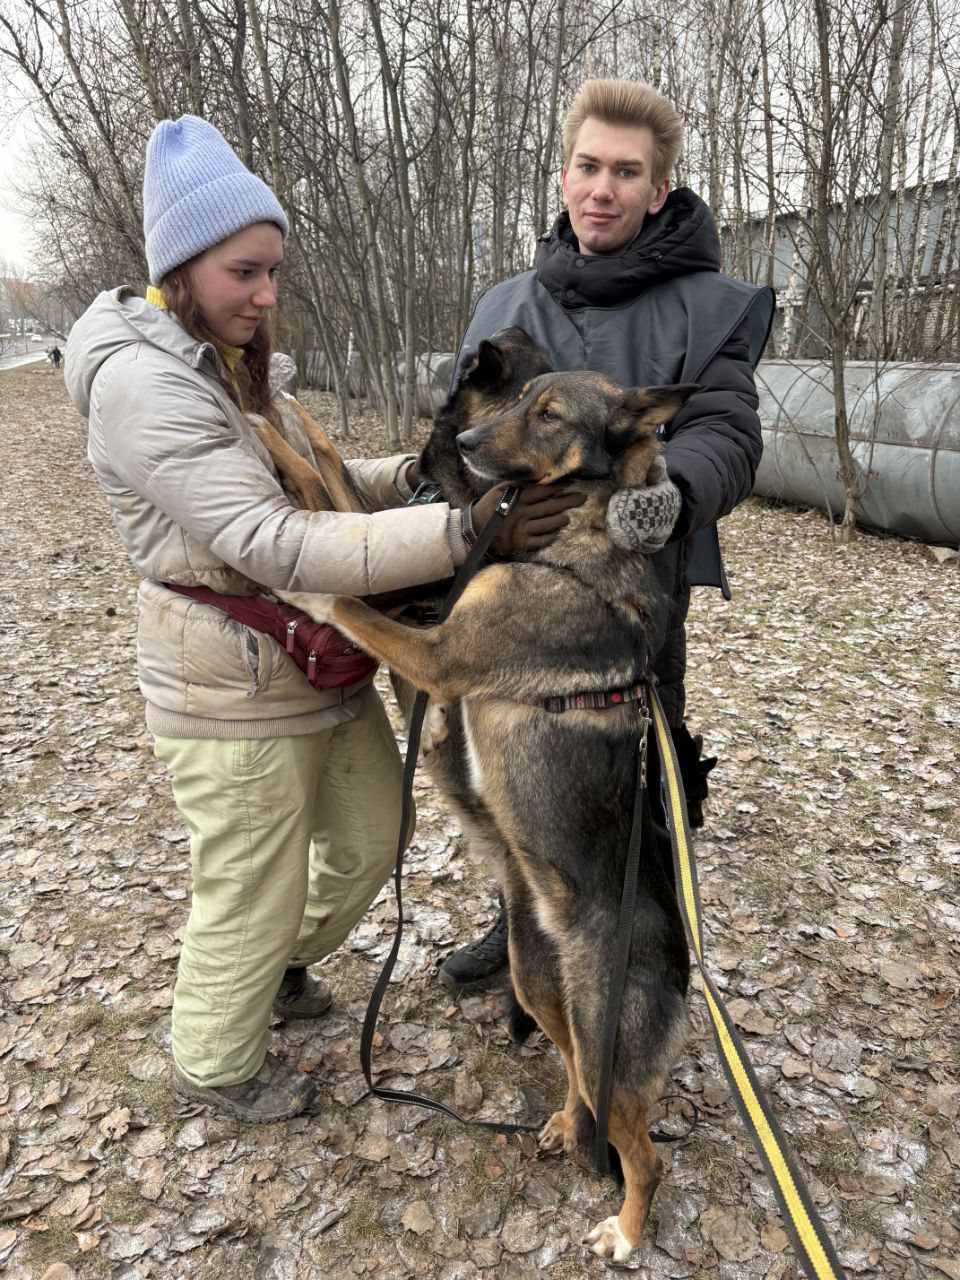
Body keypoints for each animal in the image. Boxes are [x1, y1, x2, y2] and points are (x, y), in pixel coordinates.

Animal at [277, 371, 701, 1259]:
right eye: (517, 397)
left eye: (549, 414)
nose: (468, 445)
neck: (575, 535)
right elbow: (329, 482)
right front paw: (289, 421)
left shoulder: (436, 654)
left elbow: (347, 593)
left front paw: (301, 582)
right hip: (542, 996)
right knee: (578, 1081)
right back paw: (562, 1125)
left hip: (602, 1037)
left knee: (644, 1156)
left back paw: (625, 1234)